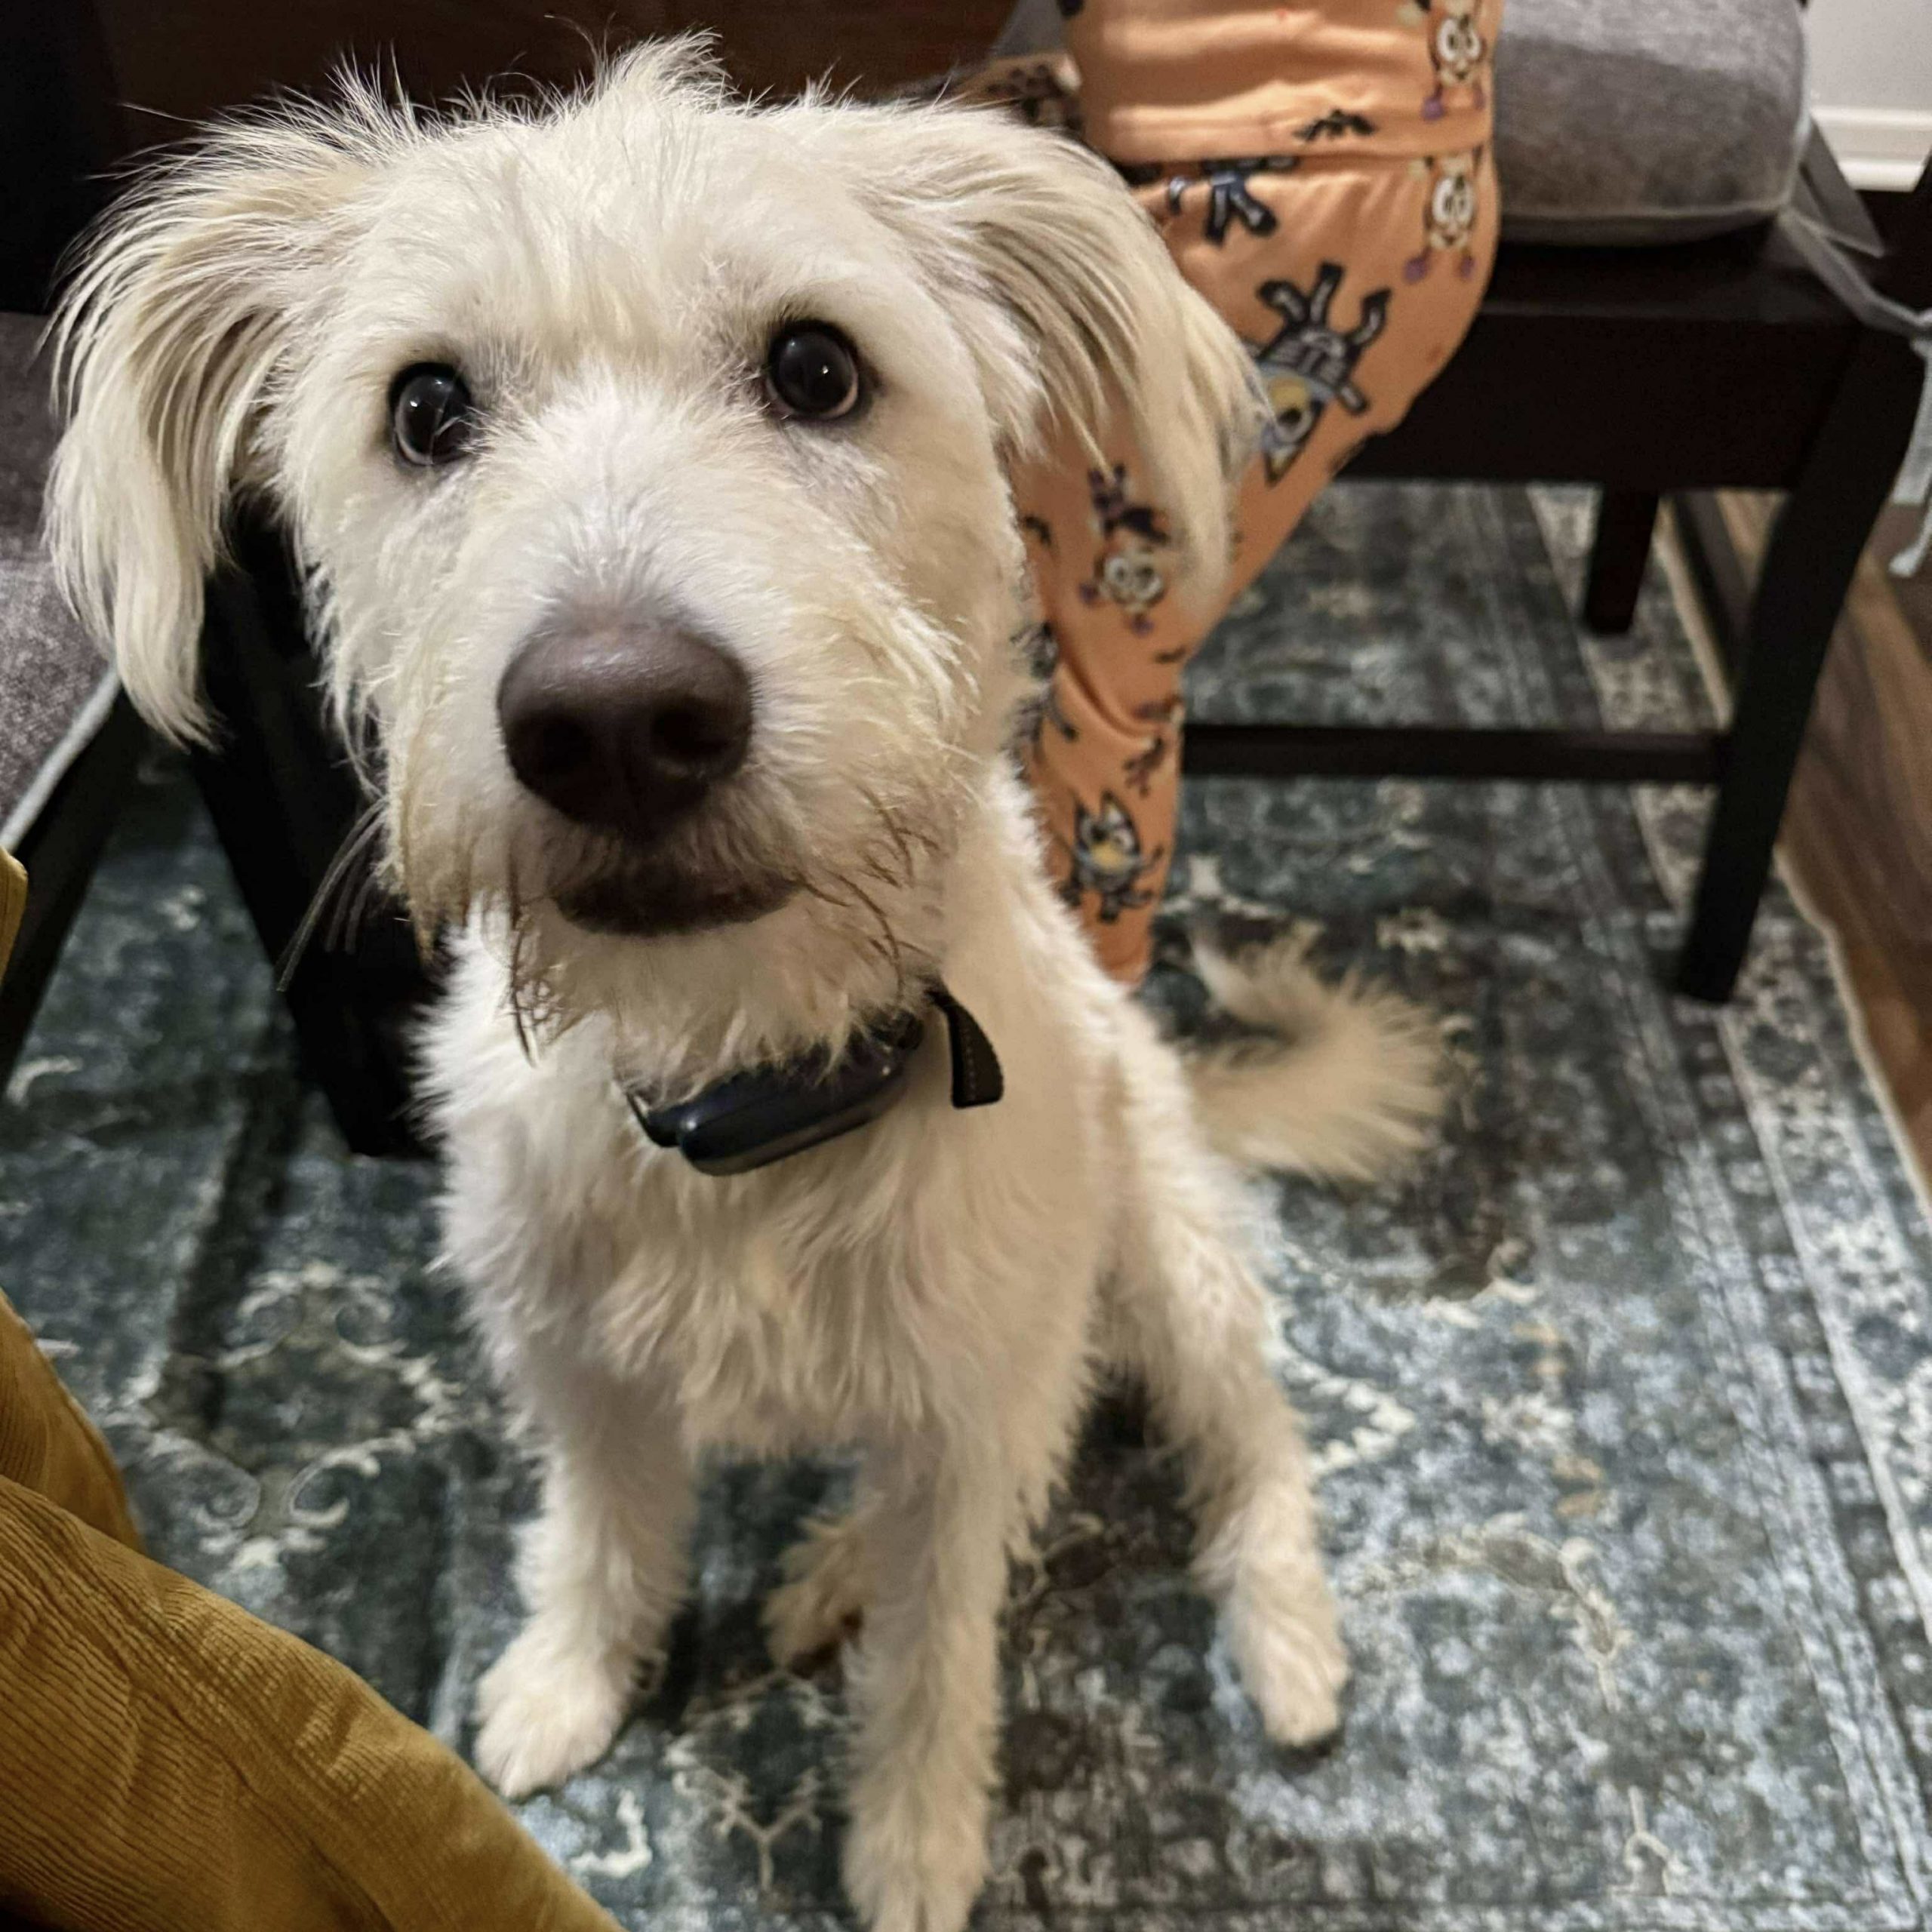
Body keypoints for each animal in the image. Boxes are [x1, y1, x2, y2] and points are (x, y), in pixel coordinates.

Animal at [47, 46, 1440, 1932]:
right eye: (426, 408)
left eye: (815, 367)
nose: (617, 720)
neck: (745, 1069)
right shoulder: (569, 1352)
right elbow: (601, 1529)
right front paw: (567, 1683)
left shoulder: (968, 1389)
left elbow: (942, 1647)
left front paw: (913, 1839)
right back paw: (831, 1564)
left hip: (1167, 1261)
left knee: (1240, 1442)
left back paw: (1282, 1641)